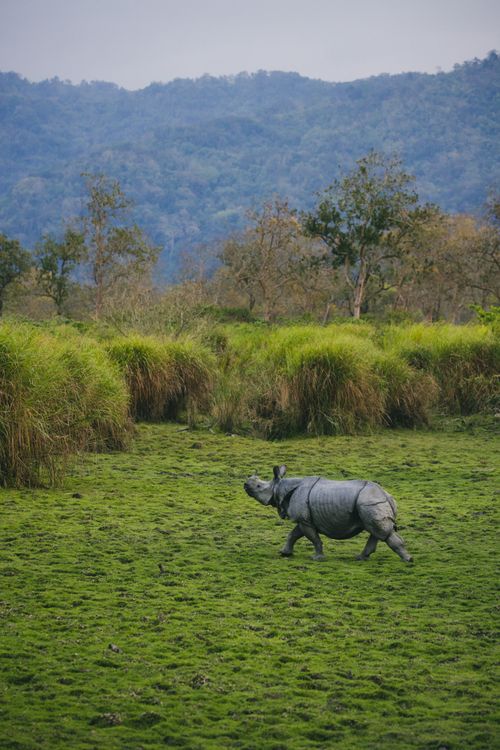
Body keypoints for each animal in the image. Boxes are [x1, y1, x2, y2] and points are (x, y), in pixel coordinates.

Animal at [244, 465, 413, 562]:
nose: (245, 484)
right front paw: (285, 553)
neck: (280, 488)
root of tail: (387, 496)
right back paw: (360, 558)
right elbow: (293, 534)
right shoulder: (303, 519)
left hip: (370, 502)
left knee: (381, 531)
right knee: (375, 530)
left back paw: (407, 560)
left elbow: (313, 538)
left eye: (258, 486)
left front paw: (316, 558)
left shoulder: (305, 520)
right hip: (372, 503)